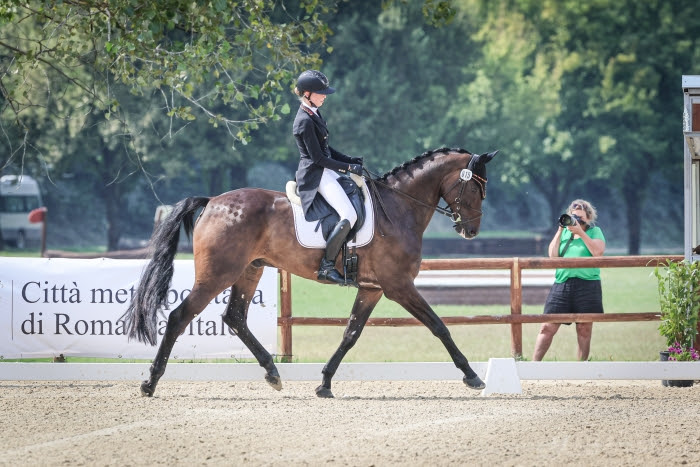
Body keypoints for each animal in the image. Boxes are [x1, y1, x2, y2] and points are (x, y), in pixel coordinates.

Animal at [123, 147, 494, 398]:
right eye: (477, 188)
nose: (472, 231)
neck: (399, 208)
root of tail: (213, 201)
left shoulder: (372, 288)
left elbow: (350, 334)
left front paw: (325, 383)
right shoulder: (399, 286)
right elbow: (439, 326)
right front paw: (472, 376)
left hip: (249, 270)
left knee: (235, 317)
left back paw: (272, 373)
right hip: (218, 274)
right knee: (179, 317)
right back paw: (150, 382)